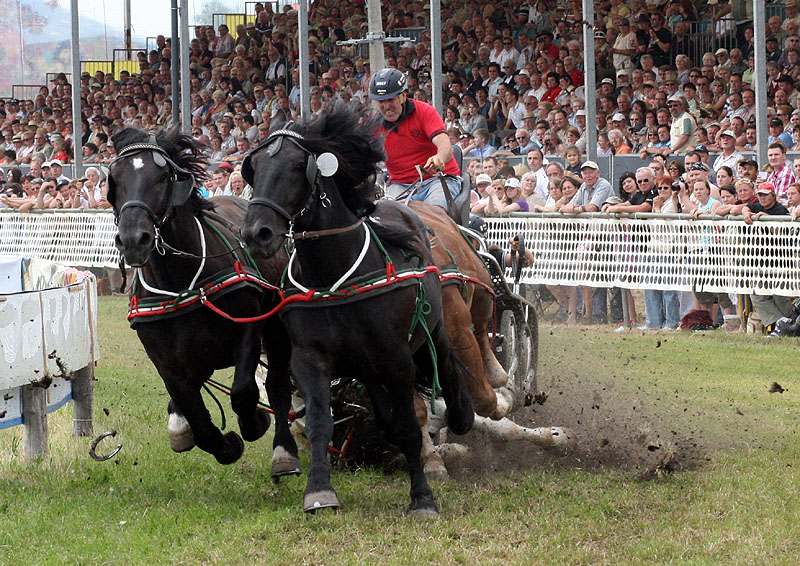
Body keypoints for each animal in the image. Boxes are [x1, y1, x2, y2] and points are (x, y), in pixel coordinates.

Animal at [108, 129, 298, 470]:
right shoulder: (167, 362)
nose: (133, 239)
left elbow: (244, 392)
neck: (182, 284)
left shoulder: (247, 331)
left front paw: (254, 423)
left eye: (162, 177)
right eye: (115, 178)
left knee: (277, 384)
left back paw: (284, 451)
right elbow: (196, 416)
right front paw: (223, 444)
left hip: (276, 326)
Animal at [239, 104, 476, 516]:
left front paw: (422, 497)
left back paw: (462, 411)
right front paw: (319, 490)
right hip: (365, 359)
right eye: (254, 167)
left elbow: (411, 430)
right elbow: (320, 421)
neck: (336, 273)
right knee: (377, 396)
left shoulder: (398, 358)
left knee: (445, 359)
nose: (257, 234)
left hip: (432, 326)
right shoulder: (309, 357)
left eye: (297, 165)